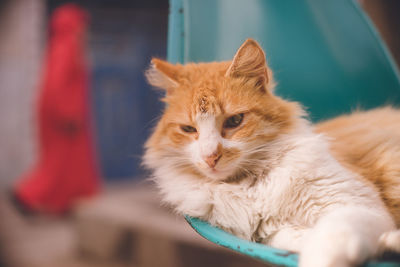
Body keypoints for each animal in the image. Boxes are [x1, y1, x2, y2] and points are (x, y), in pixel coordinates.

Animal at [142, 39, 398, 267]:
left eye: (235, 121)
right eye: (188, 129)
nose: (210, 157)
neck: (248, 187)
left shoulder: (355, 204)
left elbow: (327, 239)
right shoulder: (273, 232)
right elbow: (300, 238)